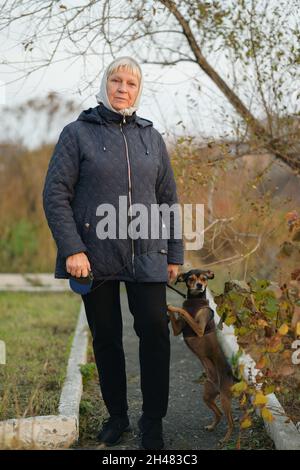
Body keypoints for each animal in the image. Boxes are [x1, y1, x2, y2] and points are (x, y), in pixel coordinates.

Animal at [168, 268, 236, 444]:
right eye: (190, 279)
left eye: (204, 278)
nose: (199, 285)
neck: (195, 301)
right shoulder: (177, 330)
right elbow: (178, 316)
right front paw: (168, 307)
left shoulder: (198, 329)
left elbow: (184, 311)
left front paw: (174, 307)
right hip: (207, 395)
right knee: (218, 413)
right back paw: (211, 427)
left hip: (225, 399)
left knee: (231, 422)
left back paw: (226, 439)